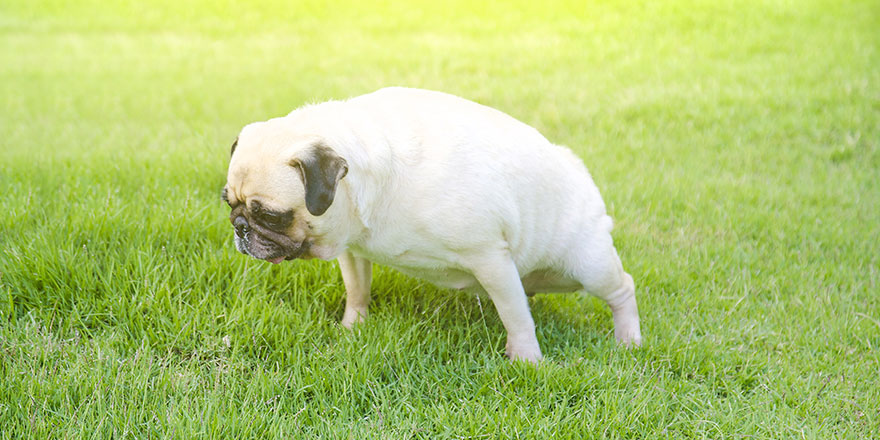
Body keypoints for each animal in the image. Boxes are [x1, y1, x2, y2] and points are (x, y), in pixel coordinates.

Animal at [223, 87, 644, 362]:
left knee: (621, 288)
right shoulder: (352, 250)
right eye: (229, 202)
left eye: (271, 215)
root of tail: (578, 170)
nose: (241, 227)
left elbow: (515, 317)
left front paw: (526, 359)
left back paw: (629, 340)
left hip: (587, 264)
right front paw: (352, 326)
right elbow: (357, 291)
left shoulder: (490, 258)